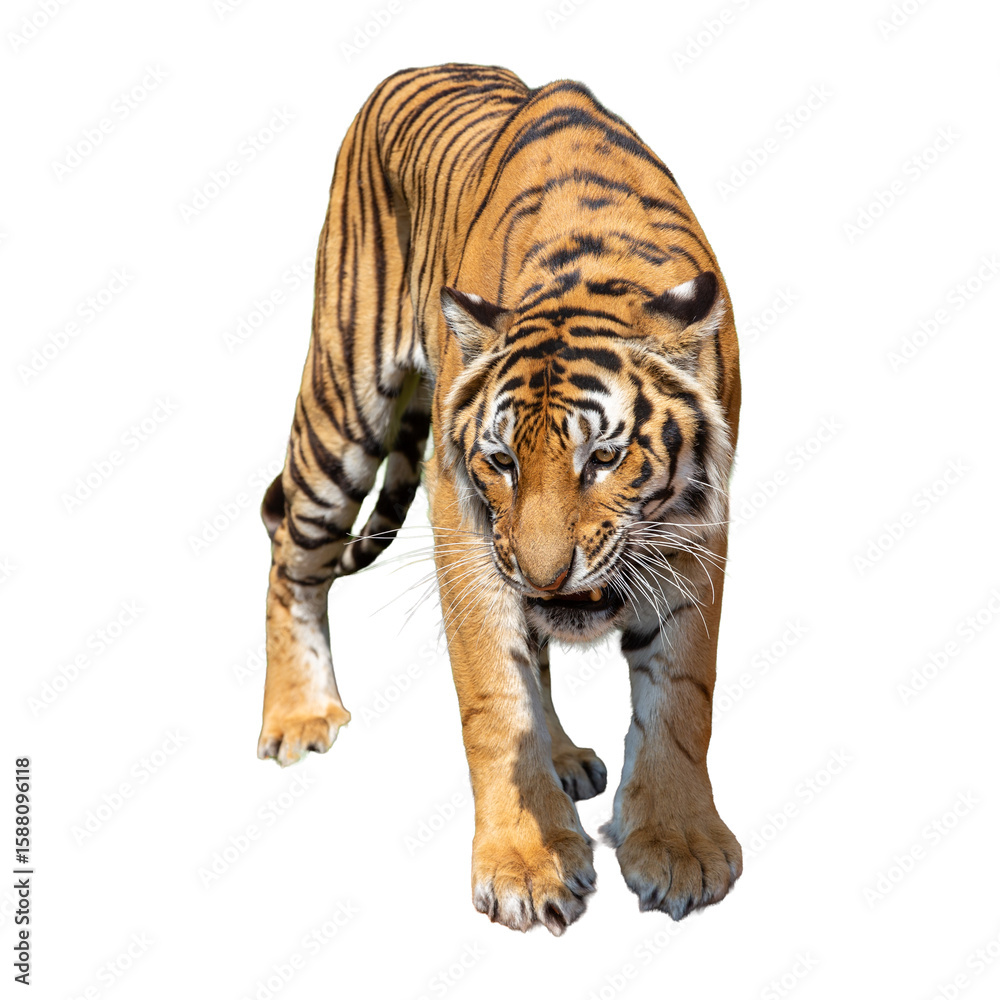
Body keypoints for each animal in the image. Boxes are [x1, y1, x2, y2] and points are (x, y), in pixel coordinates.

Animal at [257, 63, 743, 935]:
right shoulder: (463, 523)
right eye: (500, 461)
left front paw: (680, 848)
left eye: (605, 456)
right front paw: (527, 863)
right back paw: (298, 716)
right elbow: (495, 694)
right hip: (341, 402)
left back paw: (566, 755)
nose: (550, 575)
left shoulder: (699, 528)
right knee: (291, 555)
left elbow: (683, 693)